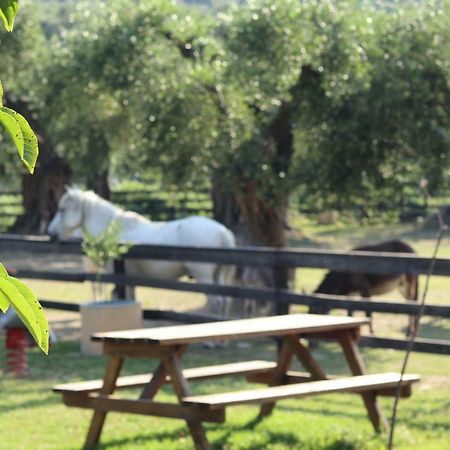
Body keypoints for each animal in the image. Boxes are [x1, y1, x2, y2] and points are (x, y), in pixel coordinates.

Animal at [48, 187, 237, 316]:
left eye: (62, 210)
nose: (51, 233)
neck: (113, 230)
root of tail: (222, 231)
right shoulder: (129, 278)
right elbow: (131, 296)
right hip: (219, 276)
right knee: (226, 300)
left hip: (204, 277)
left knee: (216, 301)